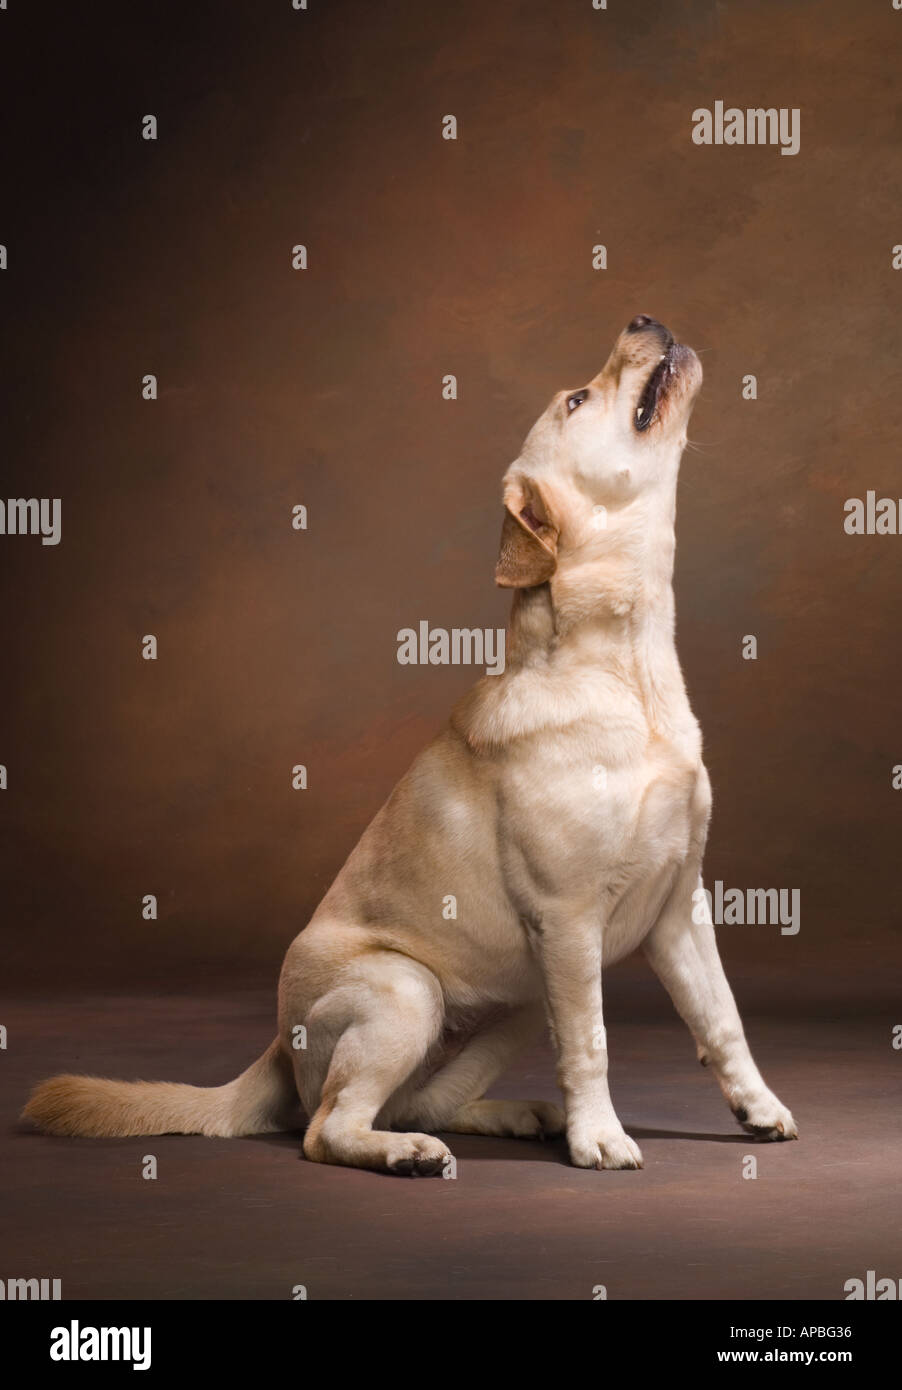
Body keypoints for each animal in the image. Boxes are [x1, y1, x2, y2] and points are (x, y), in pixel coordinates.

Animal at [22, 318, 794, 1173]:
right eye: (576, 400)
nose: (645, 320)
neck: (627, 668)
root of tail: (276, 1046)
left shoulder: (679, 909)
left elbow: (721, 1018)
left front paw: (758, 1108)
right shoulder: (568, 922)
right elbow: (590, 1041)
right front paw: (599, 1135)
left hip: (517, 1005)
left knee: (420, 1099)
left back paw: (517, 1114)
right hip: (409, 992)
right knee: (329, 1127)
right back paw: (411, 1153)